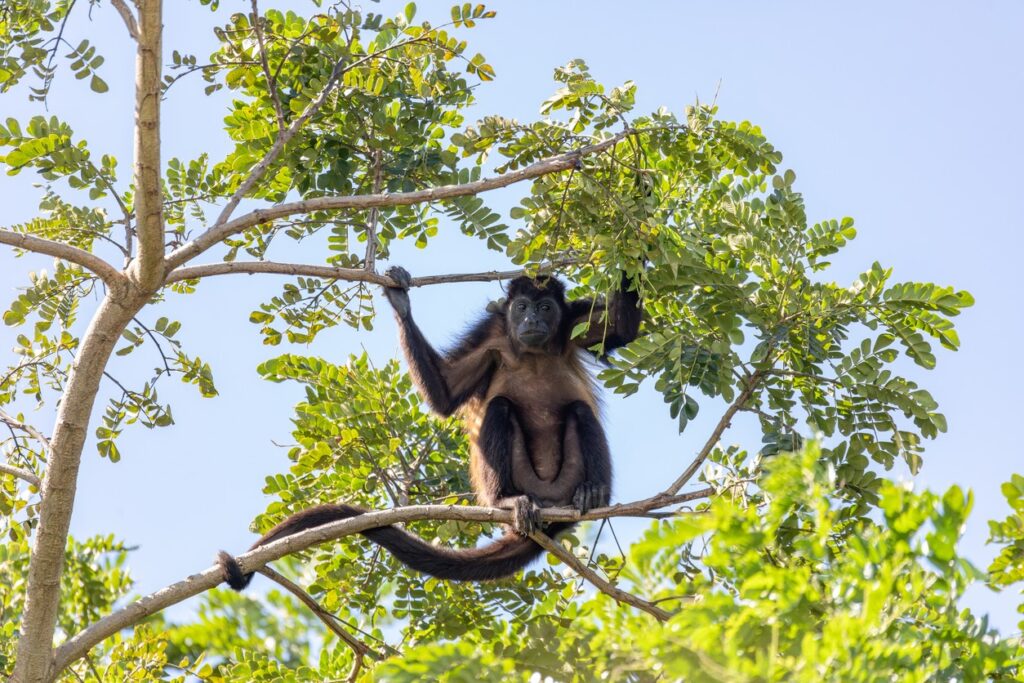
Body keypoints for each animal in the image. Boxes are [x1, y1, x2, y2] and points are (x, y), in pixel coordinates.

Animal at [218, 266, 638, 589]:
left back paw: (593, 493)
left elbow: (621, 330)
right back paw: (507, 500)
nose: (532, 320)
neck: (532, 350)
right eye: (522, 307)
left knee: (580, 411)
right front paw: (400, 302)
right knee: (500, 408)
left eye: (546, 308)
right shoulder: (491, 336)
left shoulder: (573, 322)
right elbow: (446, 394)